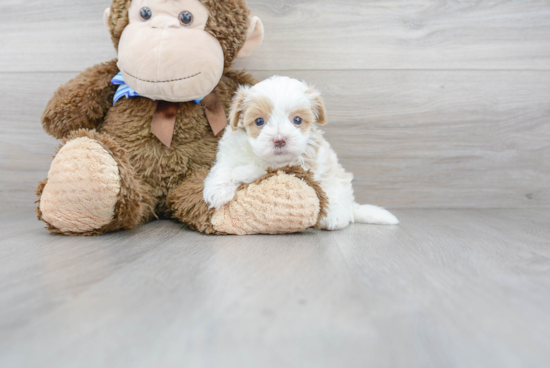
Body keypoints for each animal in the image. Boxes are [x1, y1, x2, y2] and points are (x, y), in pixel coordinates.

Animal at [205, 75, 398, 230]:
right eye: (259, 121)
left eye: (297, 120)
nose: (280, 139)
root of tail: (352, 206)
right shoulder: (229, 152)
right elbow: (223, 167)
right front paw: (217, 190)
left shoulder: (296, 165)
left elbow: (260, 170)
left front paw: (240, 173)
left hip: (336, 181)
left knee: (337, 196)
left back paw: (335, 217)